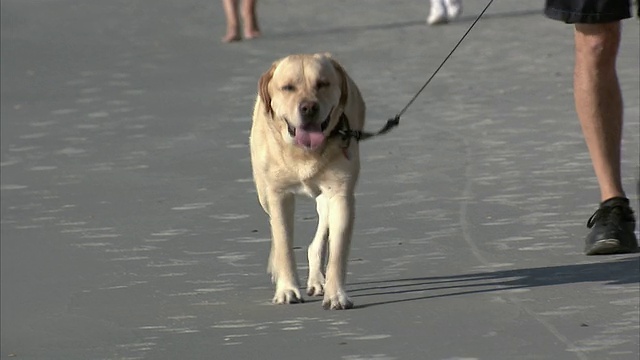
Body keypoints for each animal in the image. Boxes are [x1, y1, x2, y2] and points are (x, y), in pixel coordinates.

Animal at [249, 53, 362, 310]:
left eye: (322, 84)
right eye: (288, 87)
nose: (309, 107)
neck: (303, 153)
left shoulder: (341, 195)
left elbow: (338, 250)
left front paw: (336, 294)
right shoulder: (279, 195)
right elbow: (283, 242)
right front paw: (287, 289)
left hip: (325, 198)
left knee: (320, 233)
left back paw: (318, 280)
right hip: (263, 193)